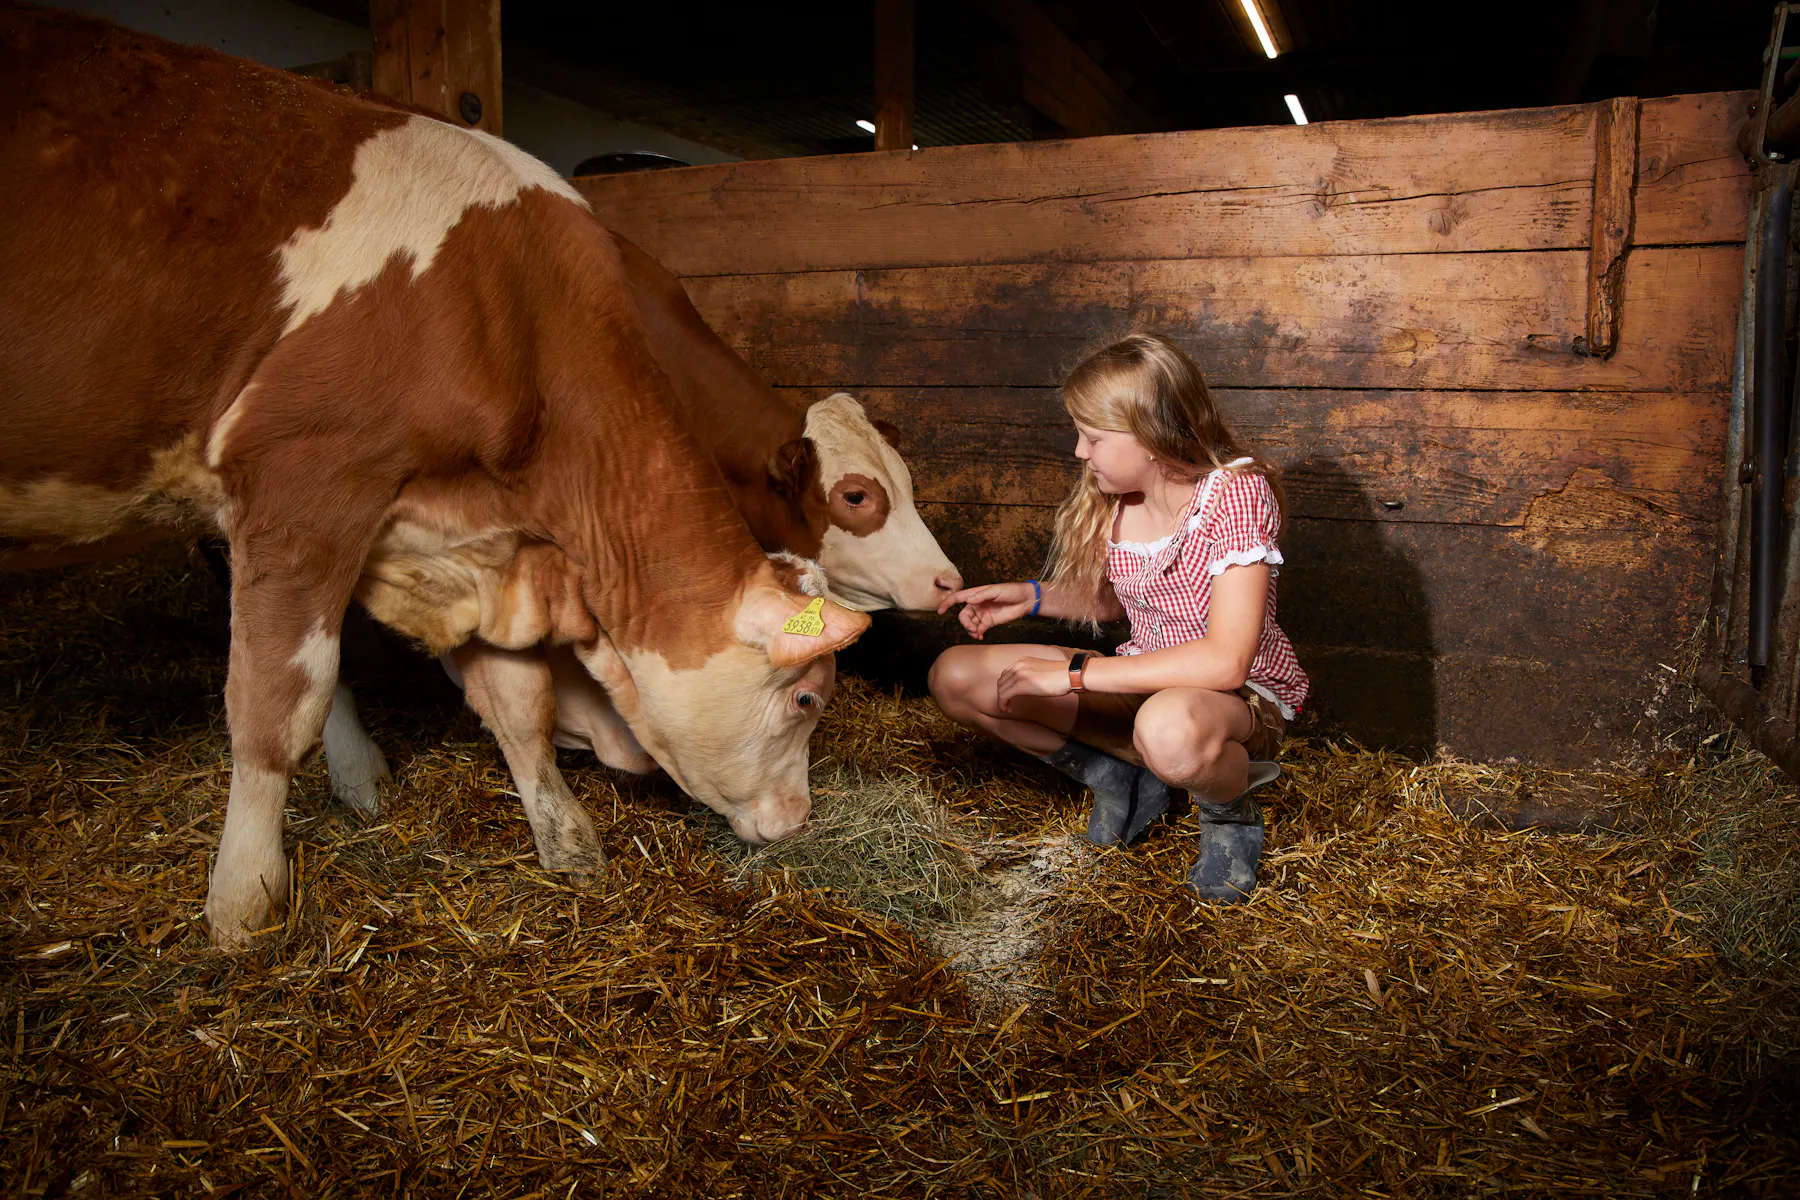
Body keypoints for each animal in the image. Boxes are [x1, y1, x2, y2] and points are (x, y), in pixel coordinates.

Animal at [0, 3, 869, 946]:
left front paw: (566, 841)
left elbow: (516, 703)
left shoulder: (478, 537)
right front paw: (244, 902)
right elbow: (275, 706)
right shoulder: (303, 482)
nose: (799, 820)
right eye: (806, 702)